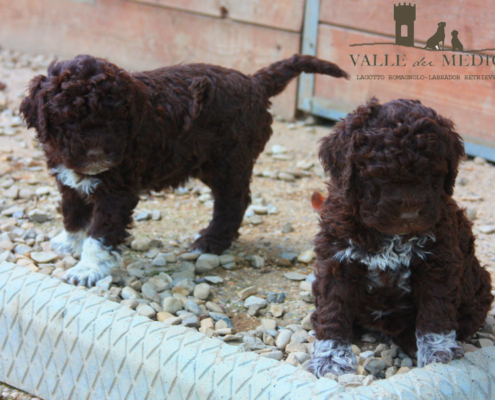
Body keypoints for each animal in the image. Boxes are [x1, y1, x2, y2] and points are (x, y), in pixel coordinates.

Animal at [20, 54, 348, 288]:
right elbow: (73, 210)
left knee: (233, 201)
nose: (96, 154)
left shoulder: (117, 190)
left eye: (115, 117)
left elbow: (100, 232)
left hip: (228, 162)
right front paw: (68, 241)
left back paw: (211, 242)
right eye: (67, 118)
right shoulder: (68, 177)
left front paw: (88, 268)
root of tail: (254, 83)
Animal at [308, 97, 494, 378]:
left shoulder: (439, 262)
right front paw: (331, 357)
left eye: (433, 174)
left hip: (477, 283)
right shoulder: (337, 260)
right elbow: (333, 309)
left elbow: (436, 309)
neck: (391, 236)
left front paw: (437, 351)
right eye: (377, 175)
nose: (409, 214)